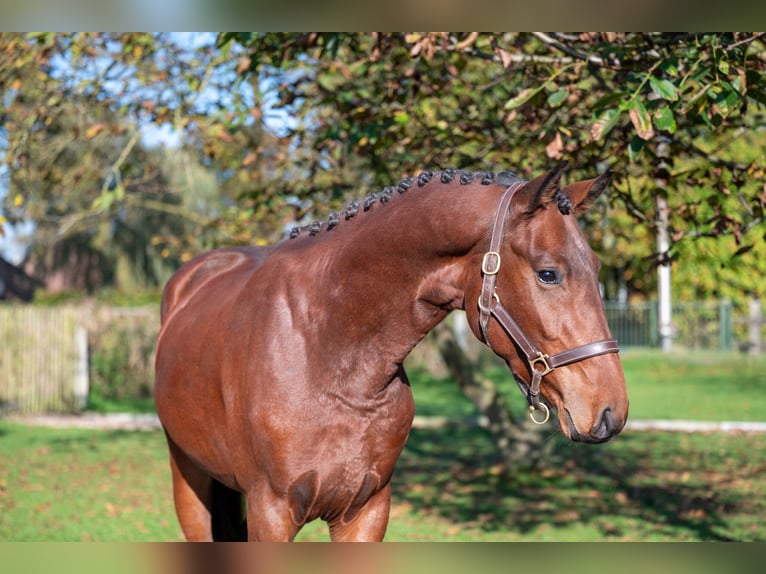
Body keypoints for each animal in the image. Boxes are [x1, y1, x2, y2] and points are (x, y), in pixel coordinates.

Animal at [154, 164, 632, 544]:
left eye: (597, 268)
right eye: (548, 273)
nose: (611, 412)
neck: (327, 355)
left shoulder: (367, 511)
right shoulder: (270, 514)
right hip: (188, 479)